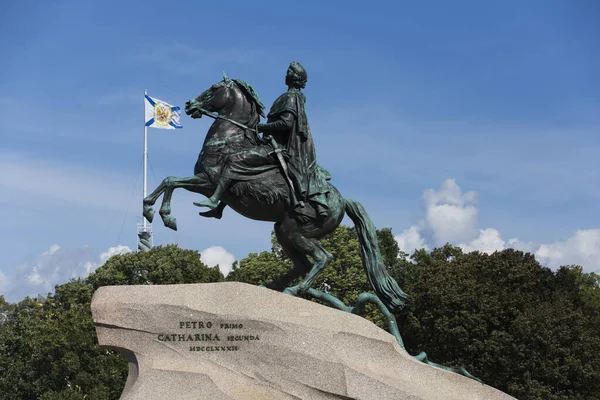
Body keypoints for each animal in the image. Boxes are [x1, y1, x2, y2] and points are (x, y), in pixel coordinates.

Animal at [143, 74, 410, 312]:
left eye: (214, 88)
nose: (189, 105)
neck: (229, 139)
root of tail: (342, 201)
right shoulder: (203, 181)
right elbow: (169, 181)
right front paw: (150, 209)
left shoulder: (208, 181)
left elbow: (173, 182)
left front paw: (166, 215)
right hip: (283, 230)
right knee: (302, 264)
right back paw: (271, 286)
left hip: (299, 232)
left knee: (323, 258)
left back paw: (294, 289)